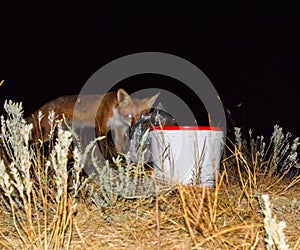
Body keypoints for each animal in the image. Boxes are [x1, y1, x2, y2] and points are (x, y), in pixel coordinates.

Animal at [27, 89, 161, 153]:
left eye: (142, 116)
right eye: (129, 115)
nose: (136, 127)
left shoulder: (119, 130)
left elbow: (119, 148)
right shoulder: (101, 129)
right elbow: (105, 152)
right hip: (45, 135)